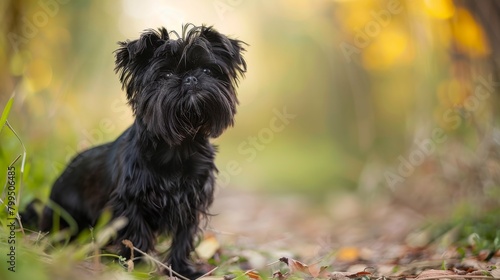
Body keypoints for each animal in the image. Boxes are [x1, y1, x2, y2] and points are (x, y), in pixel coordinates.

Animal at [39, 24, 246, 278]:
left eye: (207, 69)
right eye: (165, 75)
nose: (190, 78)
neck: (177, 146)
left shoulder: (190, 202)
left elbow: (183, 238)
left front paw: (181, 269)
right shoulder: (131, 203)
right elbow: (137, 235)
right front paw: (136, 267)